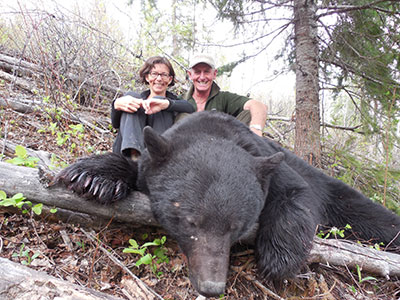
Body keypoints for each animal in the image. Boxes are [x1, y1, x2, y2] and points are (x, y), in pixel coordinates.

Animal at [55, 112, 400, 298]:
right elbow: (134, 168)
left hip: (339, 193)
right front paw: (93, 176)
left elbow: (296, 194)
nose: (211, 286)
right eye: (189, 221)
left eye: (237, 228)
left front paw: (279, 257)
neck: (212, 132)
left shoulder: (271, 163)